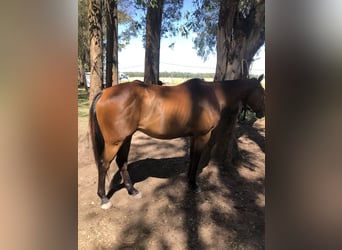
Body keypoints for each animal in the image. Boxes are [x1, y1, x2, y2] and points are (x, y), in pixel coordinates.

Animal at [89, 75, 264, 209]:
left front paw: (189, 181)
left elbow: (192, 158)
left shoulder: (194, 136)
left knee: (122, 162)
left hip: (126, 138)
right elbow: (196, 159)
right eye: (261, 91)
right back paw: (104, 198)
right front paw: (194, 185)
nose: (262, 113)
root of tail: (104, 92)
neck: (212, 95)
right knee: (104, 164)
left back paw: (132, 190)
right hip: (114, 142)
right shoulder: (203, 135)